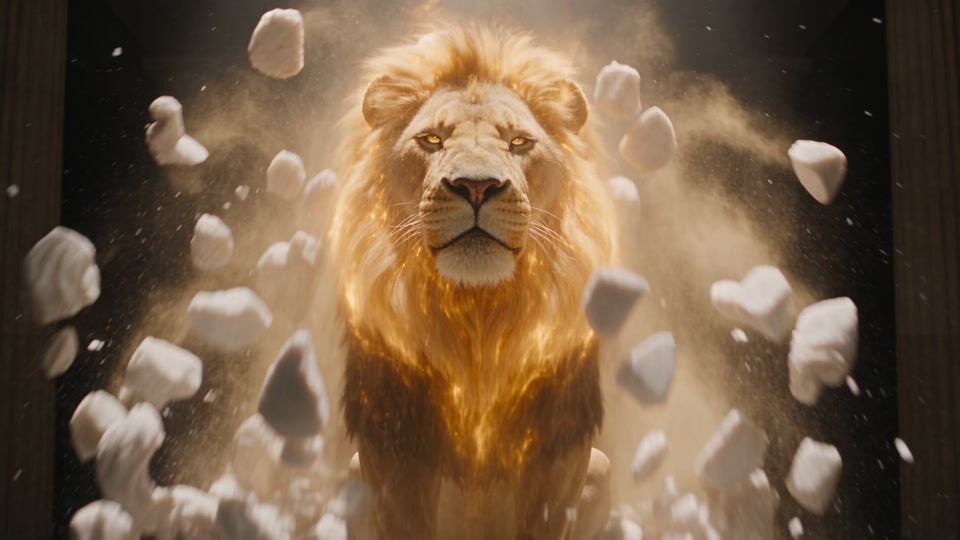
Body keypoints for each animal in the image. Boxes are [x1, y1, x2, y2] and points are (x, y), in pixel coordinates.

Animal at [329, 25, 617, 539]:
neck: (477, 317)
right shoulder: (395, 448)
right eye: (431, 139)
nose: (477, 186)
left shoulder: (557, 451)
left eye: (520, 142)